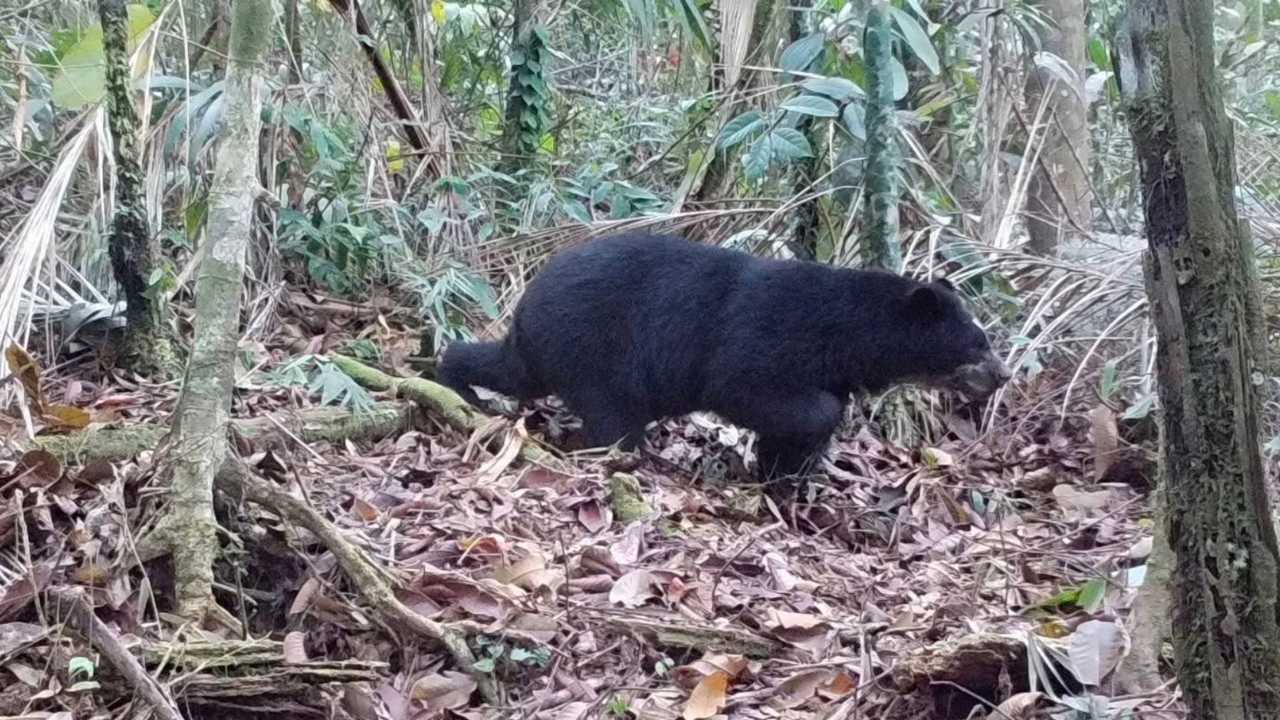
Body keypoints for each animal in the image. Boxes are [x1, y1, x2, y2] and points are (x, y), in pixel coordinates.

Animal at [437, 232, 1011, 498]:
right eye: (977, 344)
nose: (1003, 375)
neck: (846, 338)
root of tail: (527, 305)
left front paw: (786, 471)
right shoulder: (765, 340)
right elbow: (747, 386)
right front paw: (787, 458)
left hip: (551, 351)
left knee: (508, 369)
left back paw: (453, 378)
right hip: (595, 350)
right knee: (611, 416)